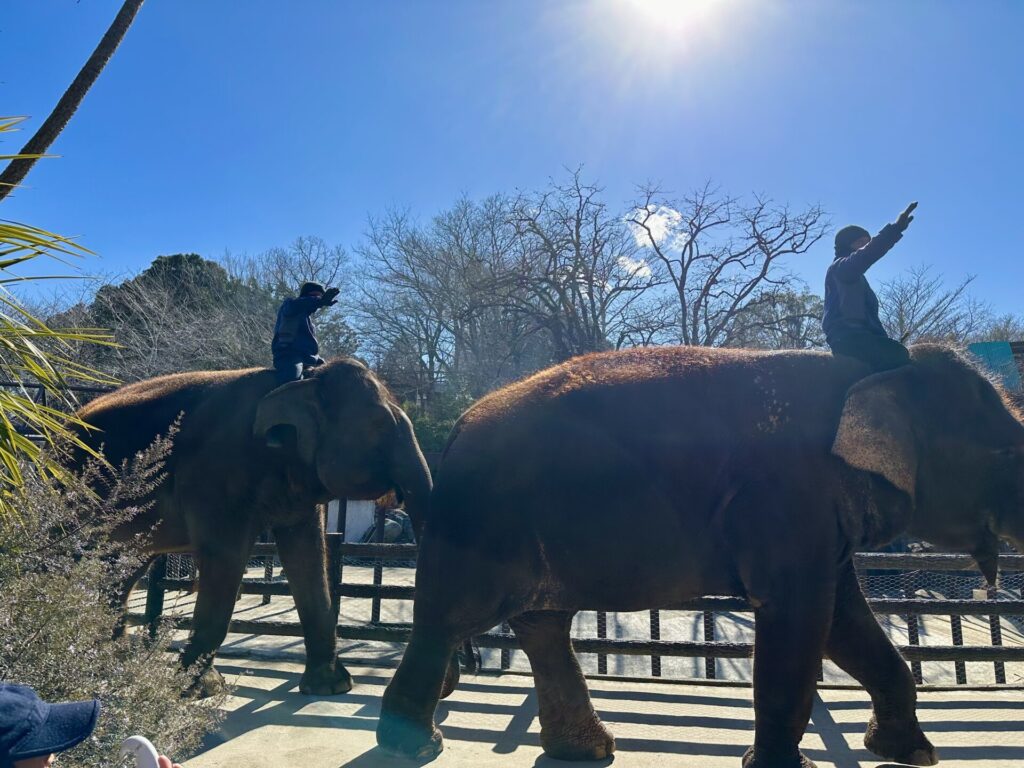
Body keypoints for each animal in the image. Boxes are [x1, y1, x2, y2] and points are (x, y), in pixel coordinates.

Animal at [71, 358, 432, 700]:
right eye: (380, 424)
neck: (301, 380)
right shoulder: (214, 473)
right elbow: (226, 557)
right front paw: (199, 690)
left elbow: (308, 556)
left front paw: (331, 688)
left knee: (126, 566)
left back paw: (110, 657)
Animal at [380, 344, 1024, 768]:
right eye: (1005, 452)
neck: (868, 373)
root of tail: (457, 429)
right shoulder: (784, 499)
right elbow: (800, 617)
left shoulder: (817, 520)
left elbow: (845, 622)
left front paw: (911, 754)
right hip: (480, 521)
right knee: (448, 618)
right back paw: (412, 745)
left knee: (542, 624)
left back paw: (586, 751)